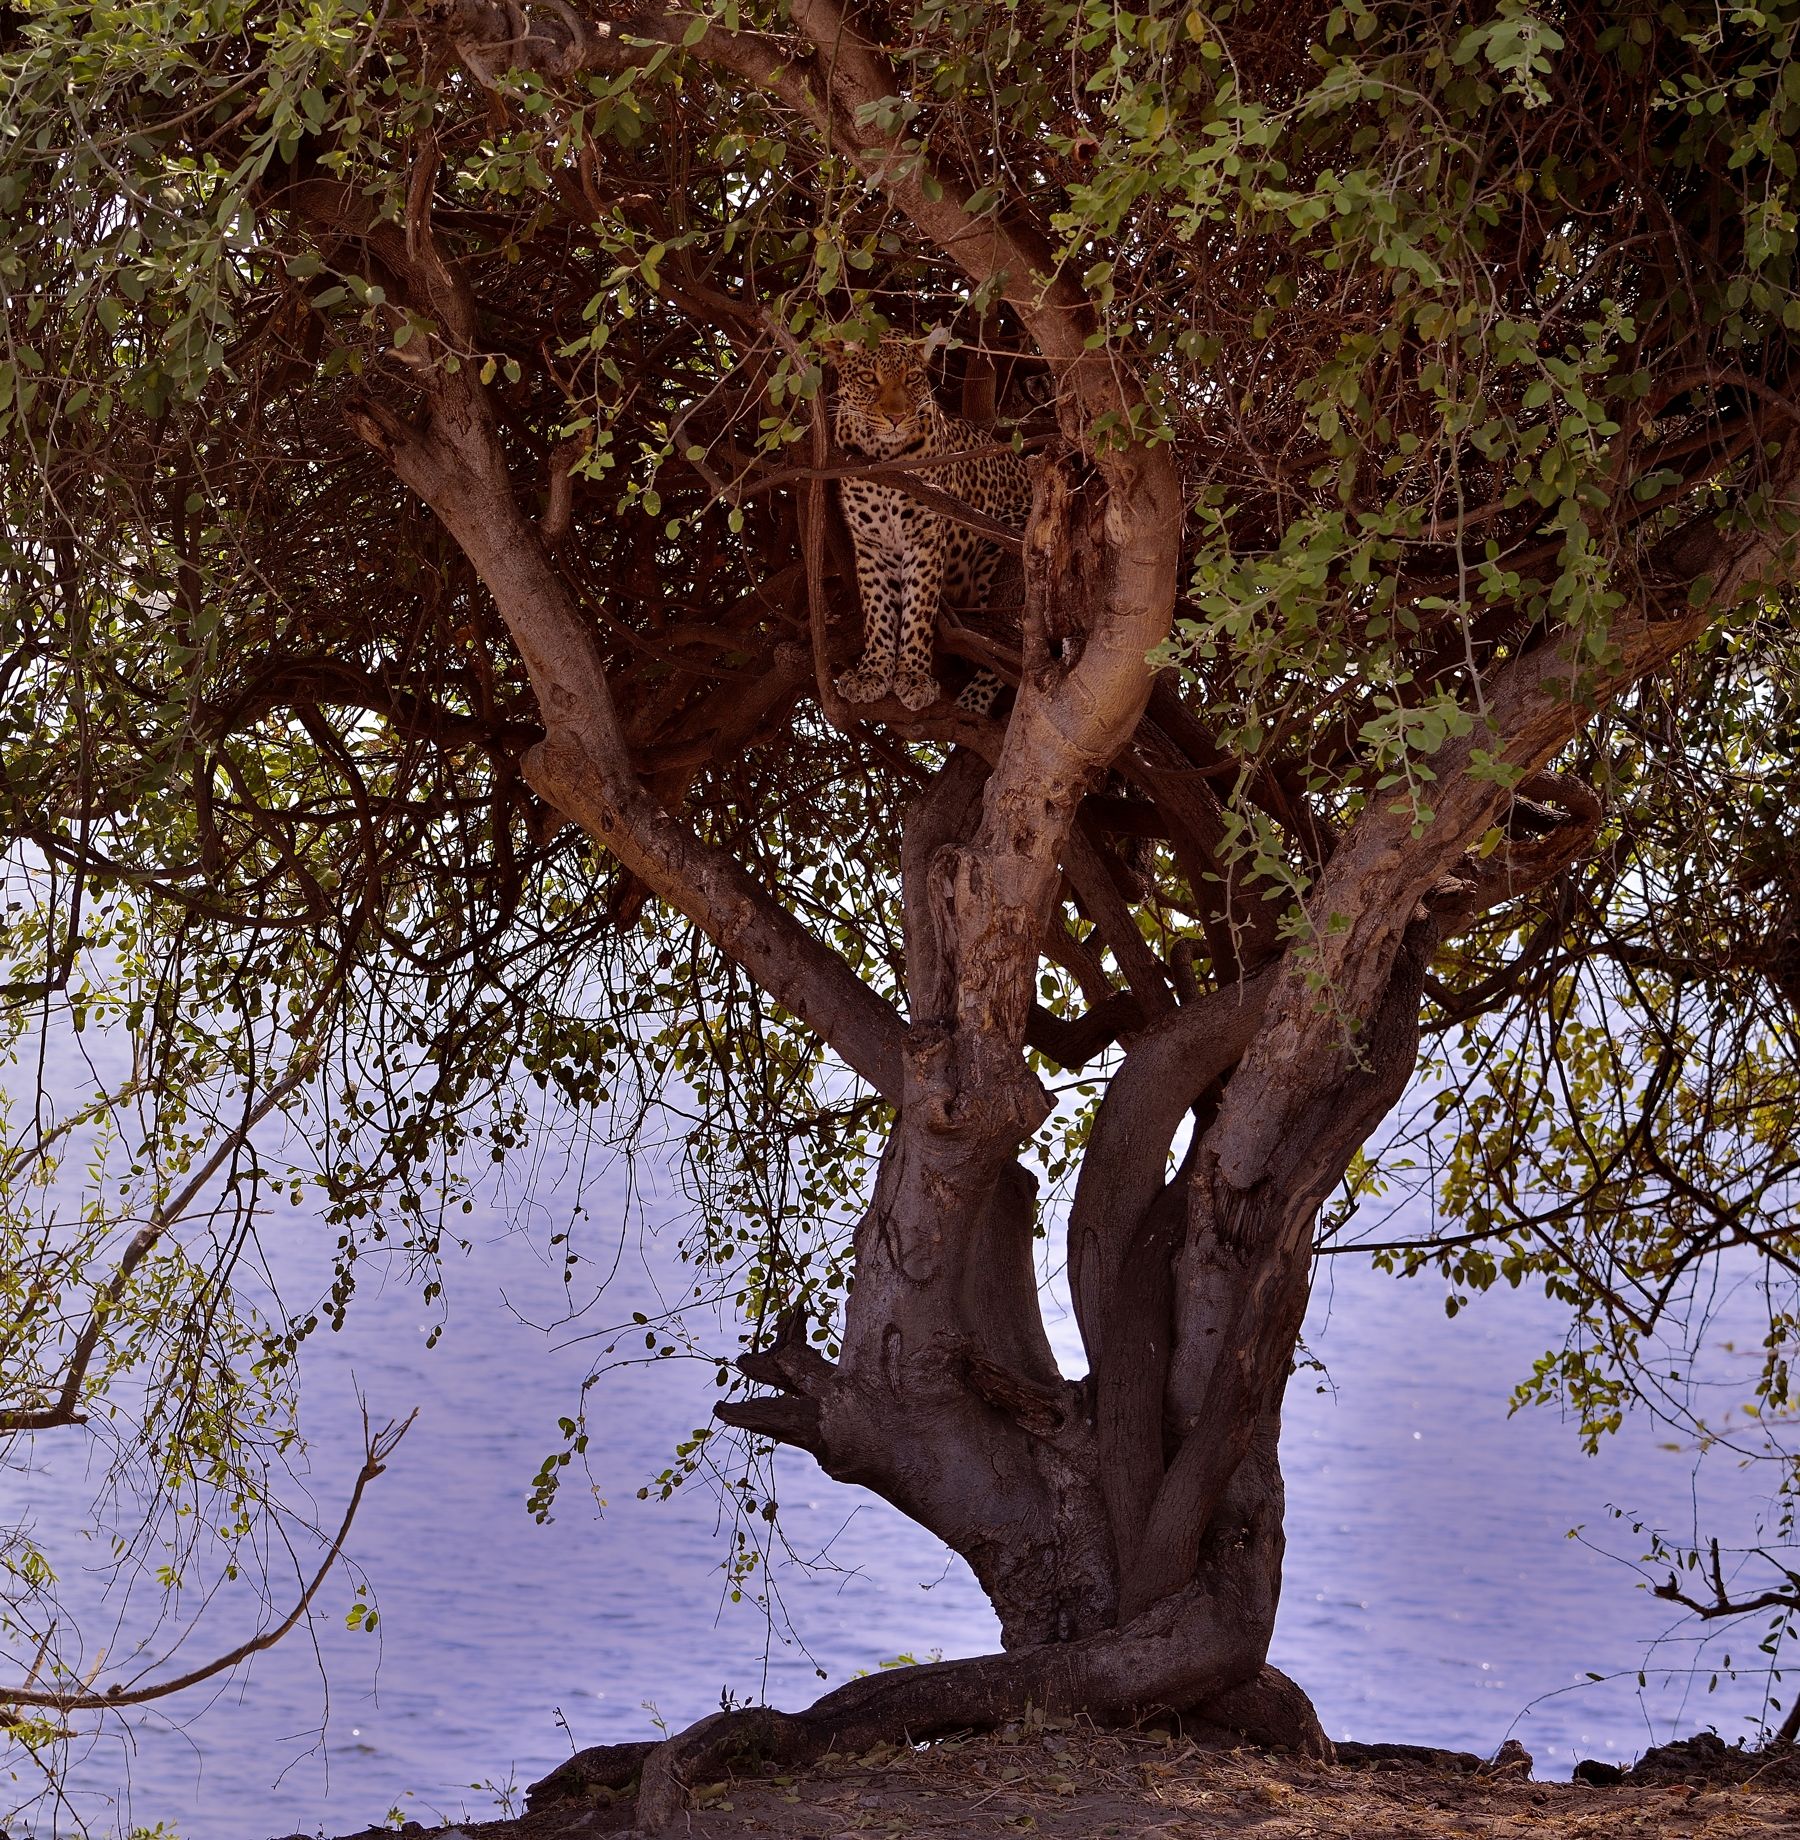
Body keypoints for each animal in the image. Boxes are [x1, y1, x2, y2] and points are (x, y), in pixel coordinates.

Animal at [829, 334, 1033, 715]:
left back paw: (972, 701)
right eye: (867, 378)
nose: (896, 418)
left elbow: (919, 609)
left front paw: (913, 676)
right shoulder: (870, 542)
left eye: (911, 377)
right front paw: (872, 672)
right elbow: (877, 609)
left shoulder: (925, 537)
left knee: (1013, 646)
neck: (884, 456)